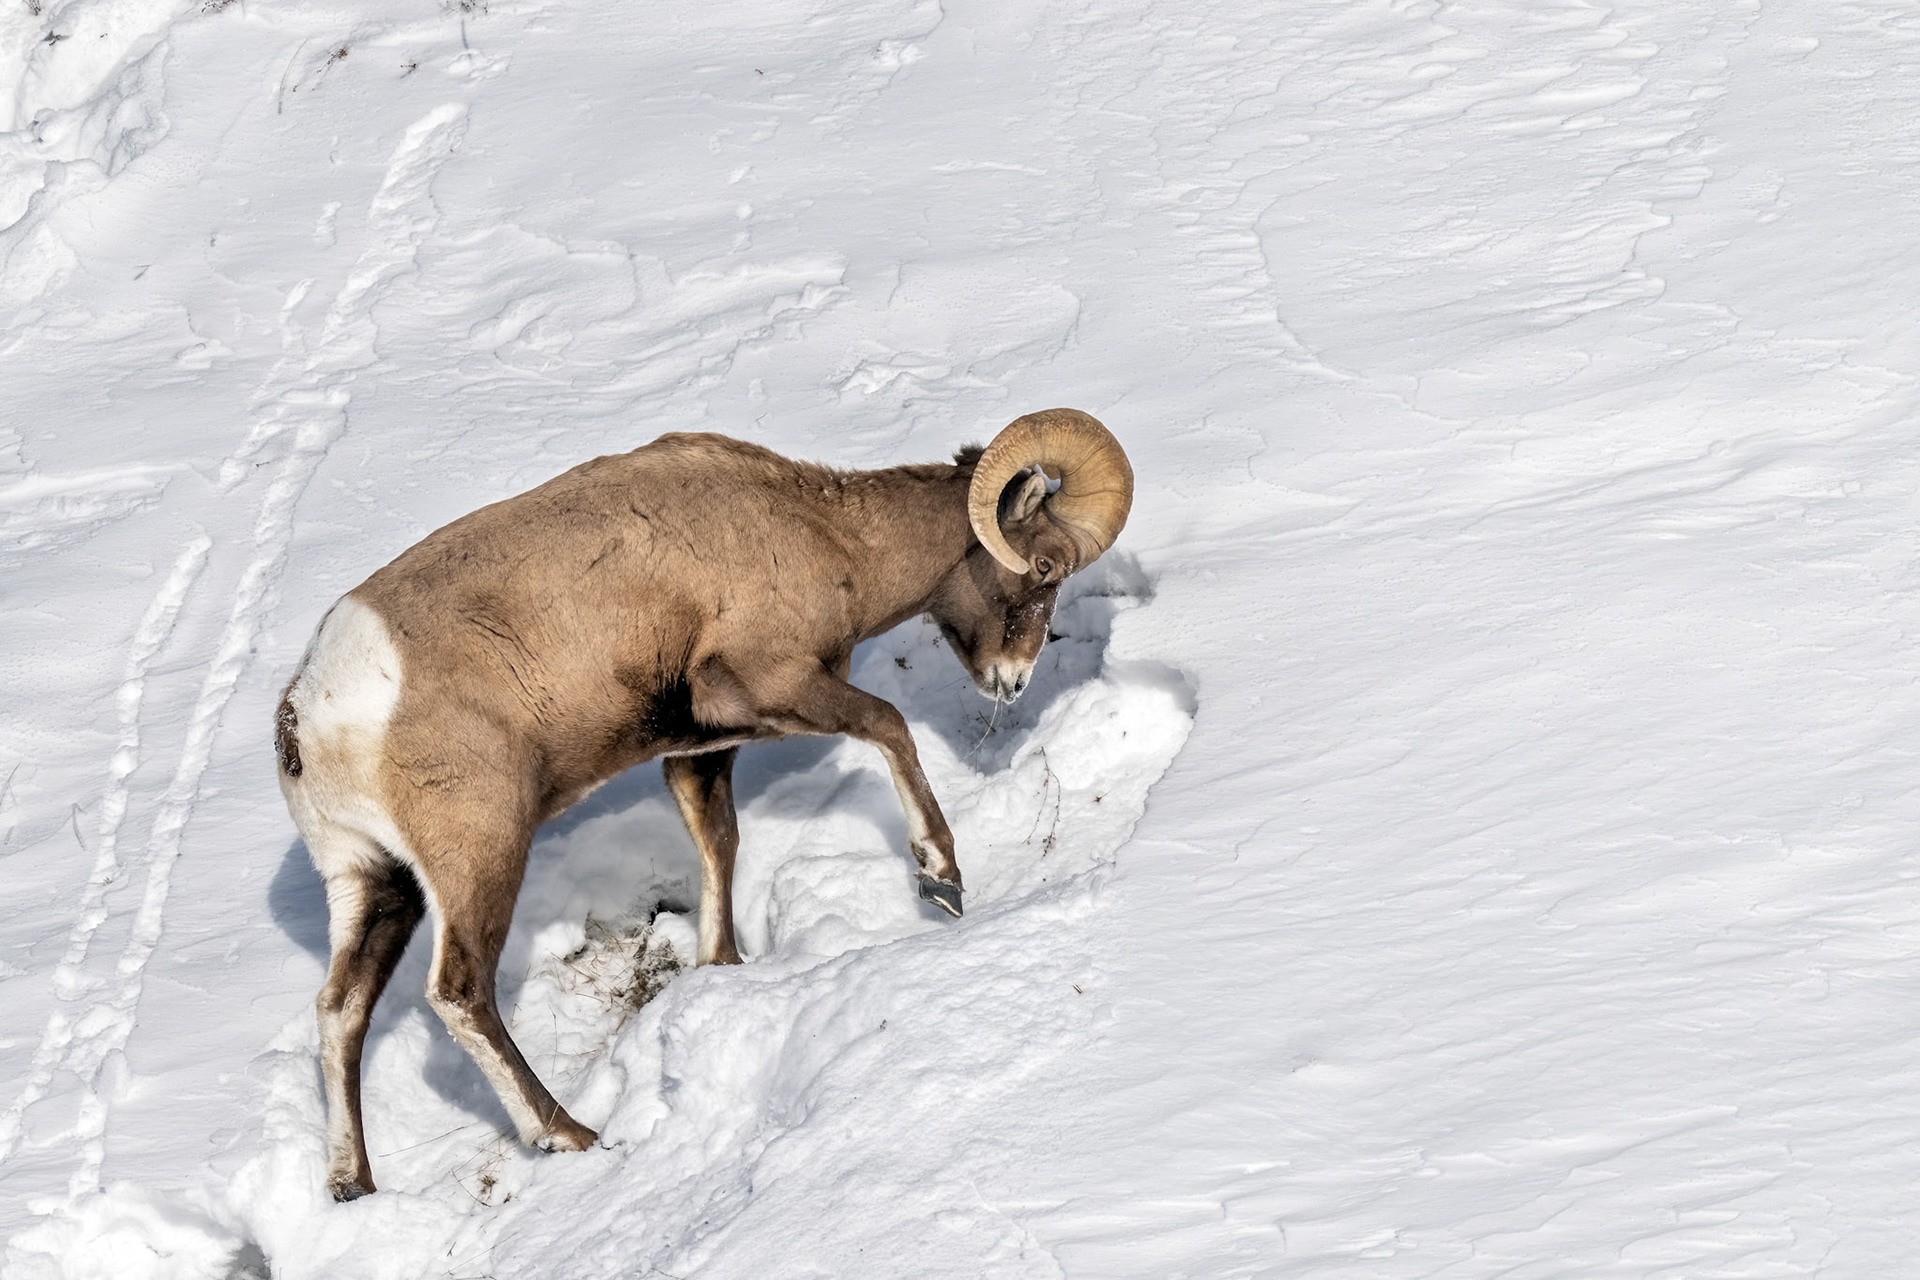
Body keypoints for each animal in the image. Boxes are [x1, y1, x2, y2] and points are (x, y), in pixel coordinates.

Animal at [273, 407, 1134, 1200]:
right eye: (1046, 567)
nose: (1012, 681)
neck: (829, 535)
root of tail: (307, 722)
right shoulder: (772, 683)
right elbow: (889, 725)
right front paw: (941, 878)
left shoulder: (700, 750)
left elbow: (719, 843)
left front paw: (726, 967)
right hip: (479, 858)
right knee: (459, 992)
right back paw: (568, 1133)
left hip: (377, 885)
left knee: (341, 1008)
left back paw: (353, 1181)